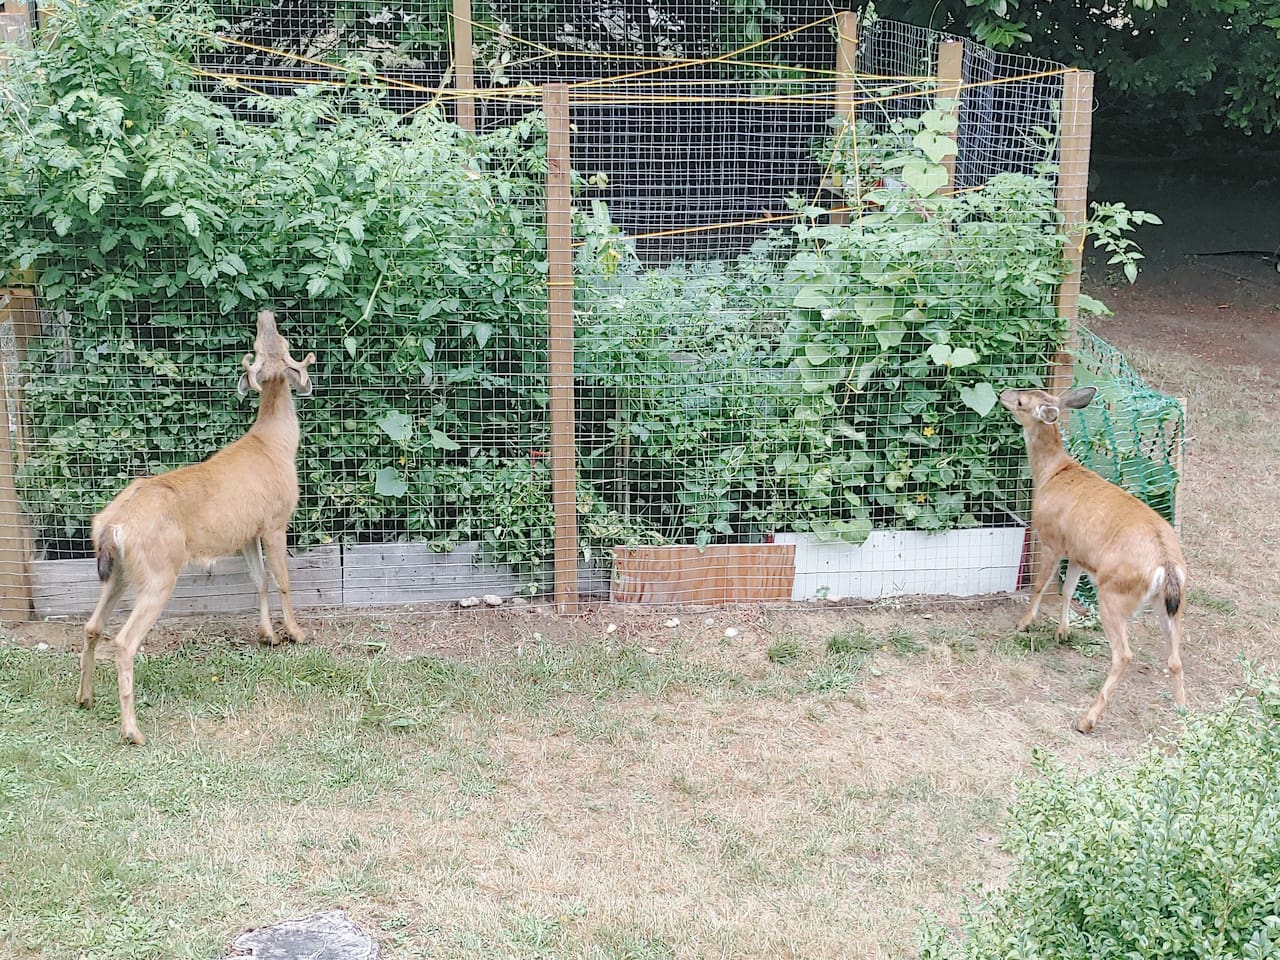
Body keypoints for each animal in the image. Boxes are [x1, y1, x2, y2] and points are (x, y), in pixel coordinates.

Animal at [77, 309, 316, 745]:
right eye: (282, 343)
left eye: (269, 339)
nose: (265, 314)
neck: (275, 444)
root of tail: (110, 525)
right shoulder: (275, 521)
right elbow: (283, 580)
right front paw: (295, 632)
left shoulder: (246, 532)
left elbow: (259, 580)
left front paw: (268, 635)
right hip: (158, 572)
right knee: (123, 642)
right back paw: (132, 731)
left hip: (119, 573)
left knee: (91, 626)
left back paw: (84, 699)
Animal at [1000, 385, 1187, 734]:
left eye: (1021, 401)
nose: (1003, 392)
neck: (1051, 473)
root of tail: (1166, 564)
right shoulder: (1079, 553)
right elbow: (1068, 589)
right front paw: (1062, 632)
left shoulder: (1052, 539)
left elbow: (1040, 585)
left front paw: (1024, 623)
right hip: (1170, 604)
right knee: (1175, 658)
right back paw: (1183, 715)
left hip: (1114, 593)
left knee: (1124, 655)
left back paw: (1087, 719)